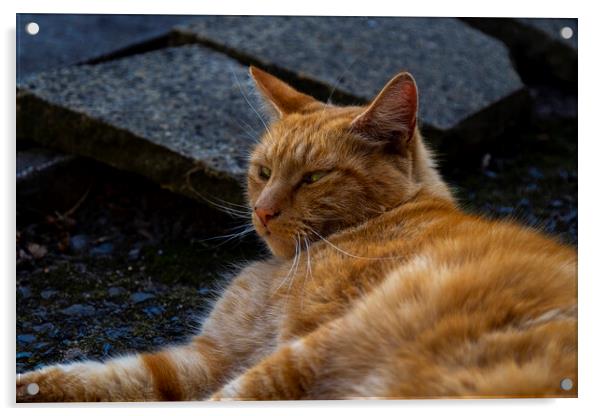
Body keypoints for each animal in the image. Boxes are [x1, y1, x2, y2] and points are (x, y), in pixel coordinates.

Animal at [16, 66, 576, 402]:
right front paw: (30, 386)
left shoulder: (280, 357)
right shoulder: (211, 357)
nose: (263, 211)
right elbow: (105, 376)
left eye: (313, 178)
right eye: (263, 172)